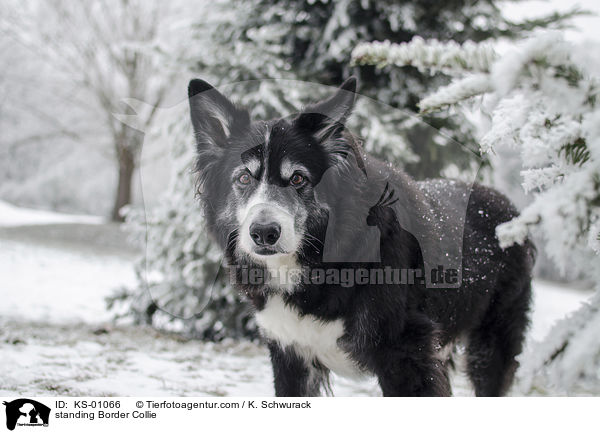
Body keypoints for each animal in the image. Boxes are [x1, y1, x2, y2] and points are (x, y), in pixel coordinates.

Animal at [188, 77, 536, 394]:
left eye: (298, 178)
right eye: (244, 178)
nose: (263, 233)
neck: (320, 259)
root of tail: (504, 202)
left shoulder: (406, 356)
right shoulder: (291, 355)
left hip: (491, 345)